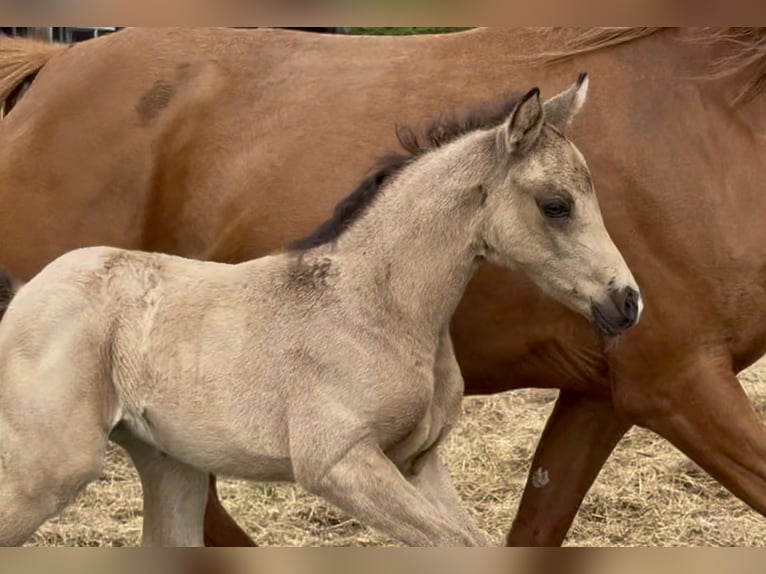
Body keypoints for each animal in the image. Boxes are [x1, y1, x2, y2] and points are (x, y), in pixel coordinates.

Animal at [0, 27, 764, 546]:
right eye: (555, 204)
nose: (626, 302)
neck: (378, 303)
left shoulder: (460, 449)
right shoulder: (342, 464)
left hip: (171, 465)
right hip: (55, 463)